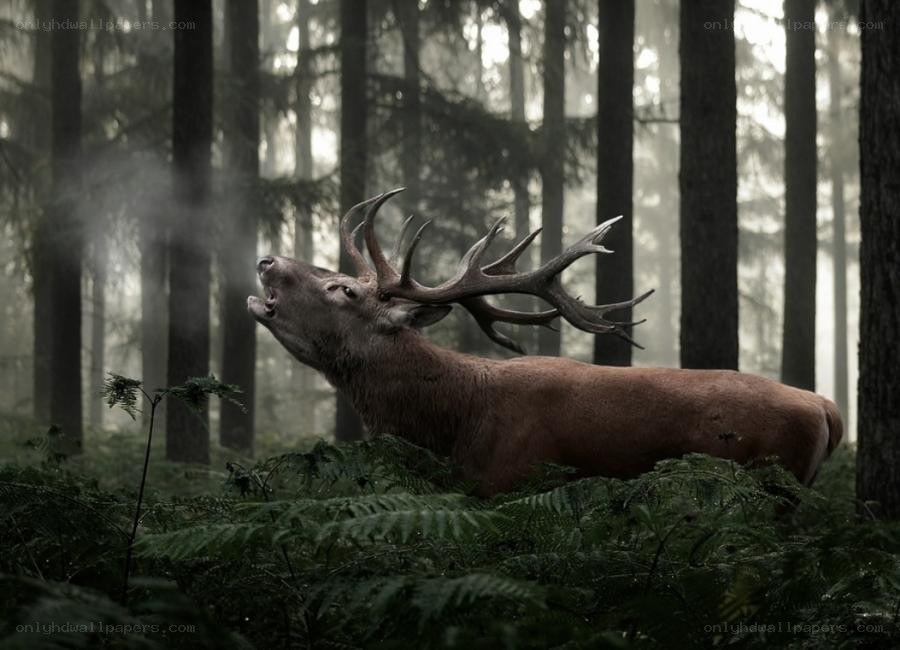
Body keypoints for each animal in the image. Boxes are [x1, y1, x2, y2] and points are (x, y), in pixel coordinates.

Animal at [248, 189, 843, 496]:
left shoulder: (510, 481)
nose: (267, 260)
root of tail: (826, 408)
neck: (454, 423)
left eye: (343, 289)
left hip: (773, 484)